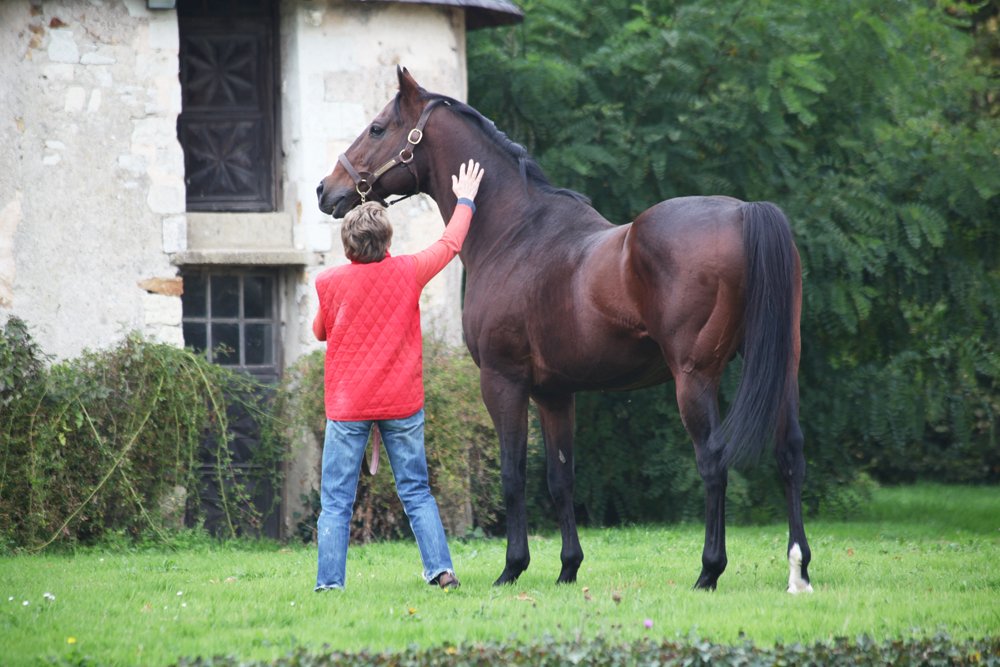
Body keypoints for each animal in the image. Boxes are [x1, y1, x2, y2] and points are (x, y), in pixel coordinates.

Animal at [317, 67, 812, 593]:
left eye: (377, 128)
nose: (326, 189)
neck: (514, 234)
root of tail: (744, 212)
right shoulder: (555, 393)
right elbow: (561, 480)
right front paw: (568, 568)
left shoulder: (503, 382)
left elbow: (513, 475)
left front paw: (512, 567)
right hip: (782, 367)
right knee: (790, 453)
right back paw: (799, 569)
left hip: (695, 378)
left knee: (714, 463)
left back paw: (708, 571)